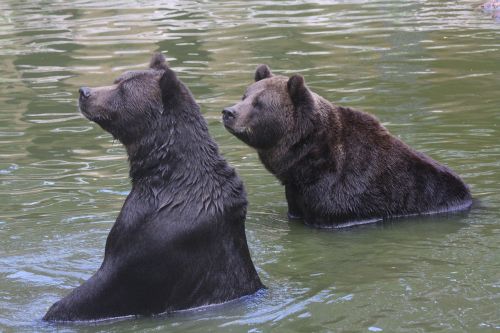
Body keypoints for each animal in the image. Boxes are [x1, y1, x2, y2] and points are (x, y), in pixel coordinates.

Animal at [43, 53, 264, 320]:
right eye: (117, 80)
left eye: (123, 89)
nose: (84, 92)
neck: (165, 172)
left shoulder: (150, 236)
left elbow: (100, 288)